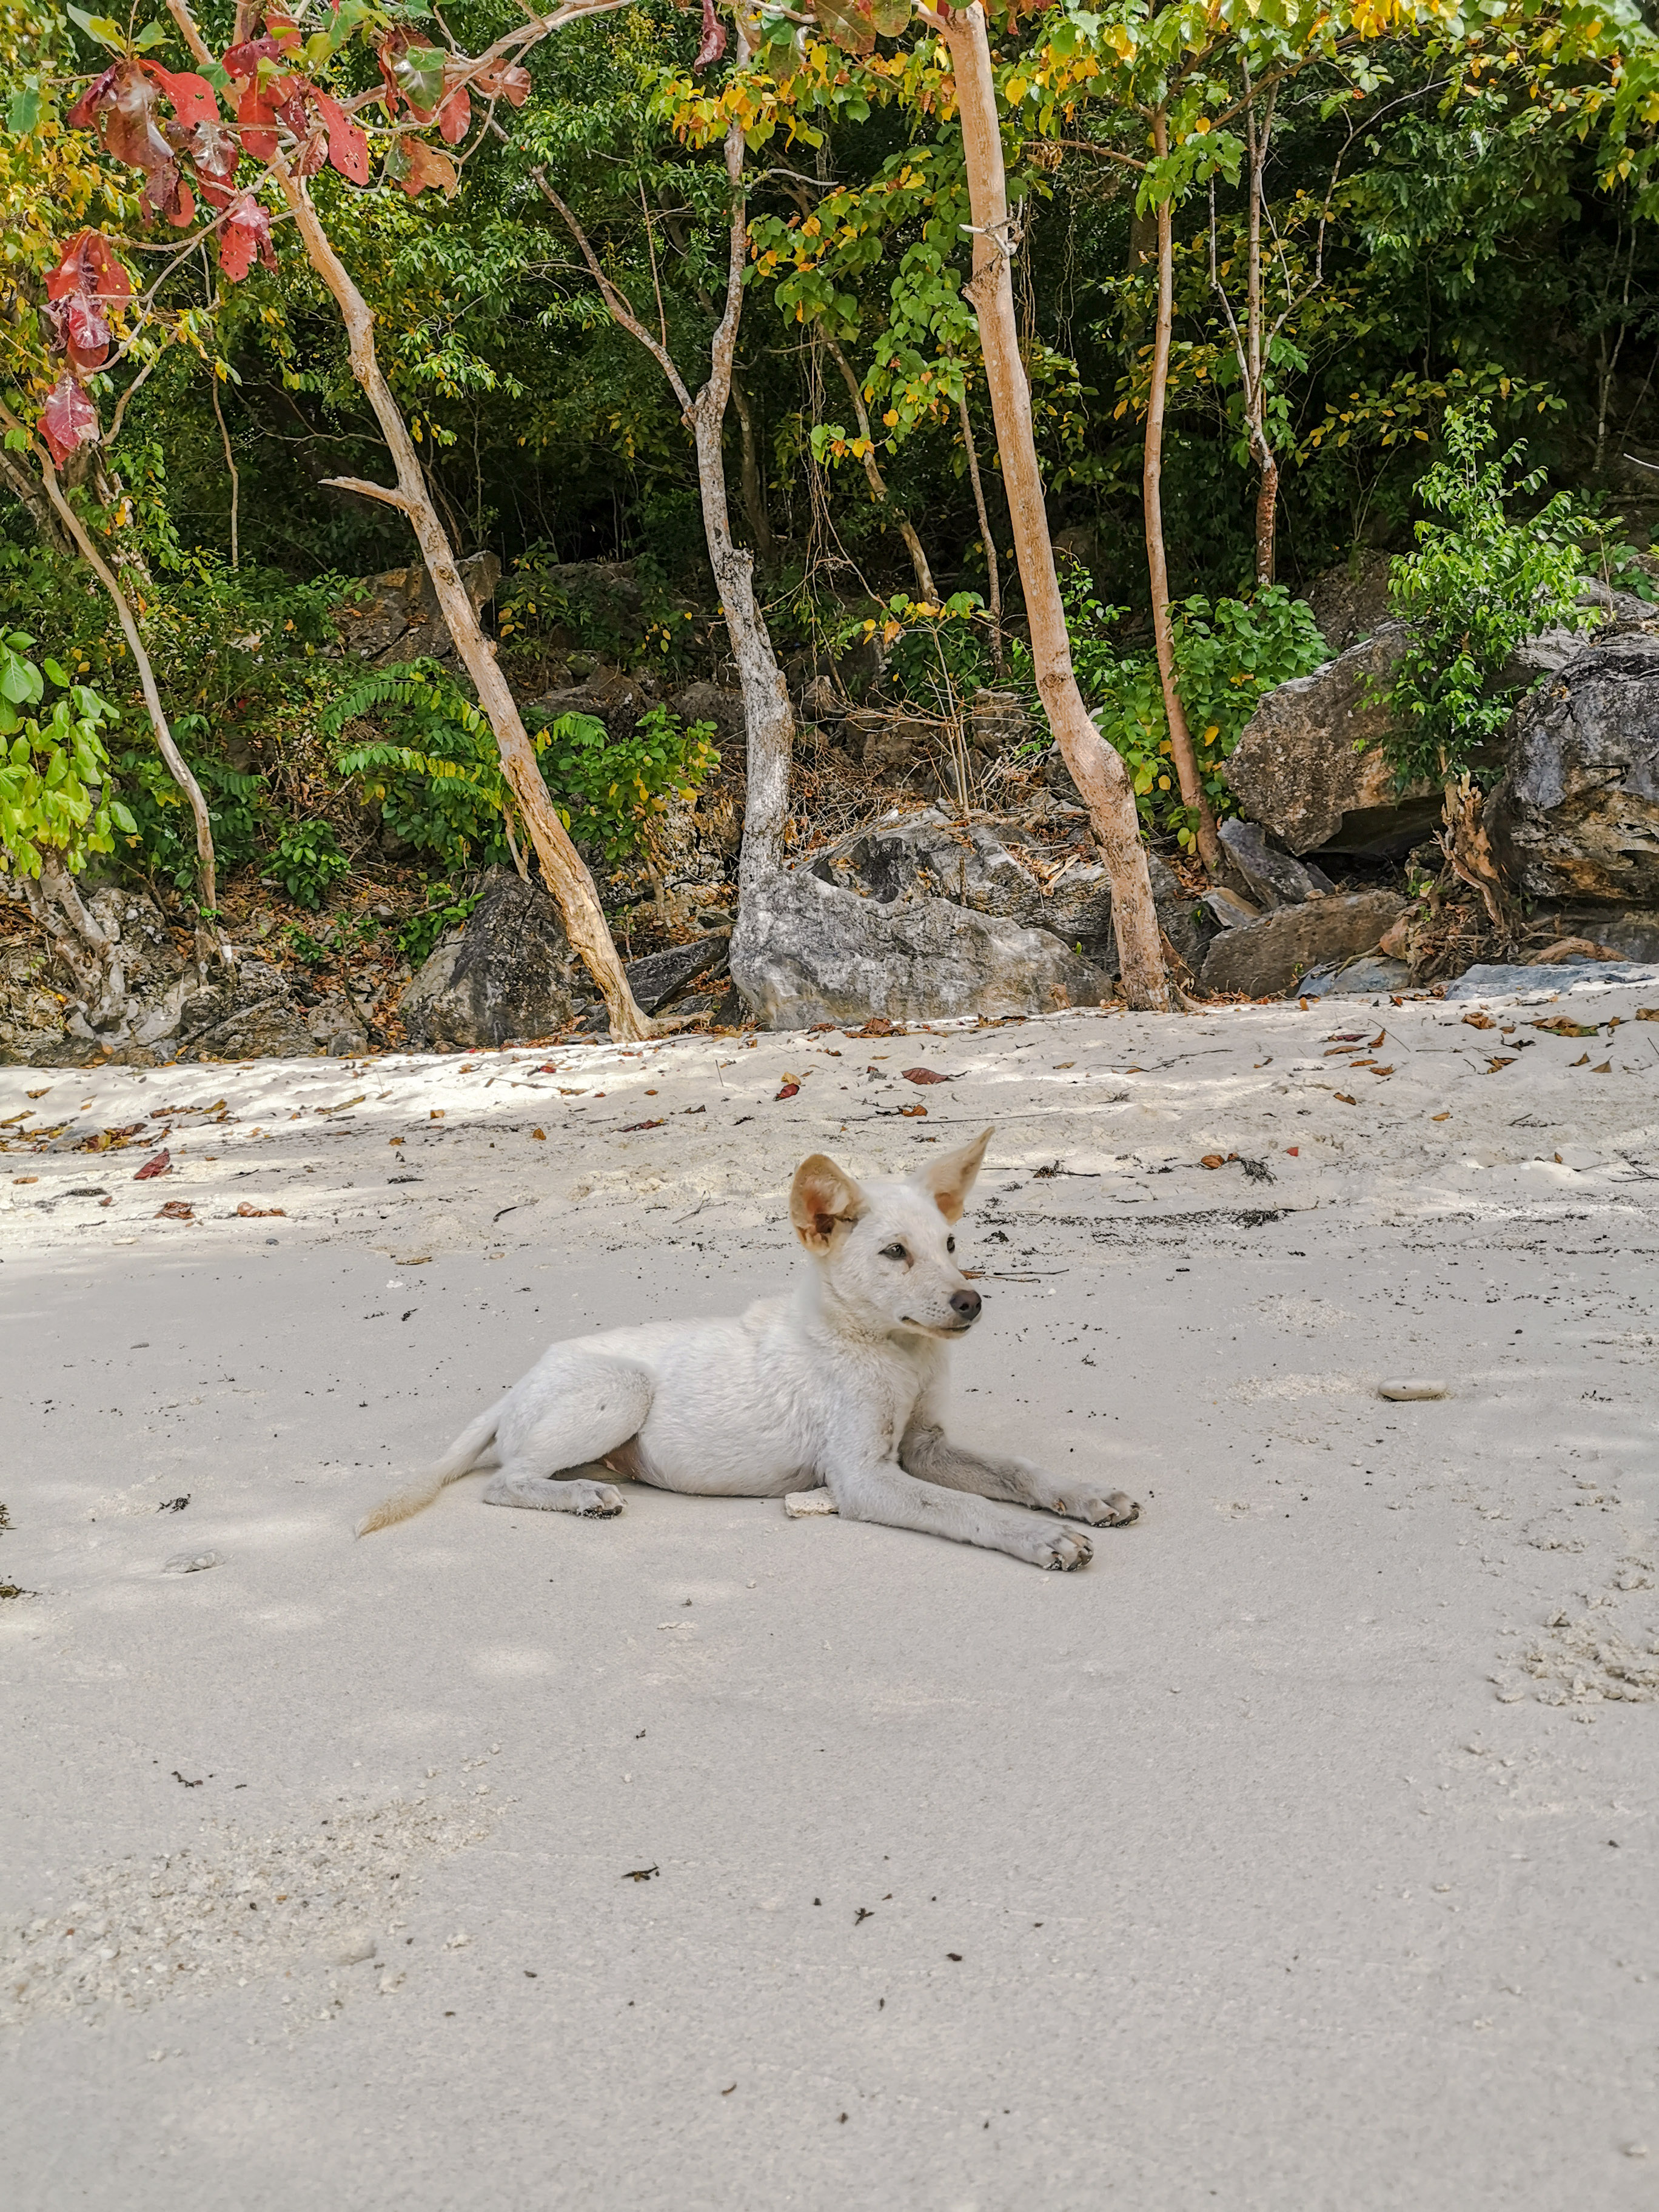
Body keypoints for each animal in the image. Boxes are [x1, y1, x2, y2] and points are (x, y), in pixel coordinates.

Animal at [355, 1127, 1138, 1569]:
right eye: (894, 1253)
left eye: (950, 1246)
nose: (971, 1303)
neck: (890, 1348)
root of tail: (517, 1386)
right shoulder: (865, 1478)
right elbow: (968, 1509)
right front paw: (1039, 1539)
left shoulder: (925, 1445)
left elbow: (1016, 1472)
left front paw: (1085, 1495)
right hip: (621, 1390)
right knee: (504, 1481)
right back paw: (581, 1496)